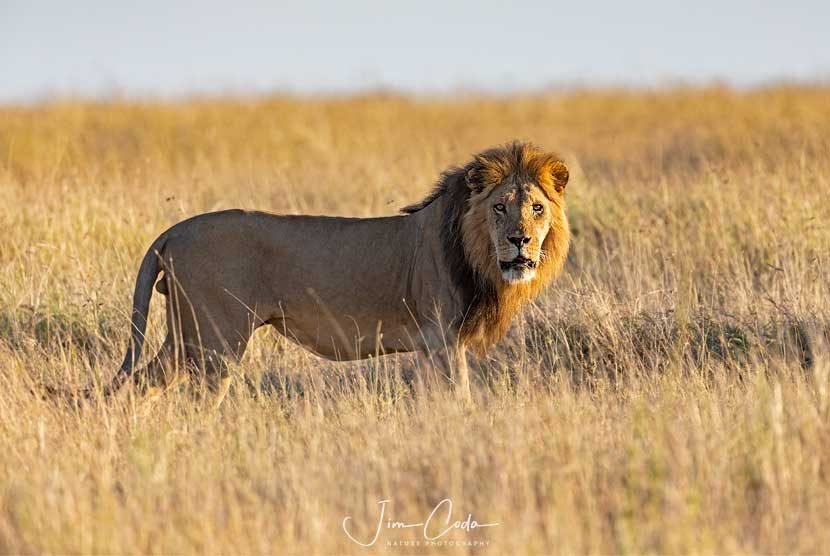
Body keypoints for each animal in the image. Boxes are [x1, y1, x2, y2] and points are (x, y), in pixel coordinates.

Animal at [99, 141, 570, 405]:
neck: (478, 256)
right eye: (499, 207)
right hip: (216, 340)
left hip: (186, 335)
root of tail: (172, 232)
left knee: (139, 383)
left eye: (536, 207)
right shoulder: (442, 339)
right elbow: (461, 398)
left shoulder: (430, 346)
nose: (519, 241)